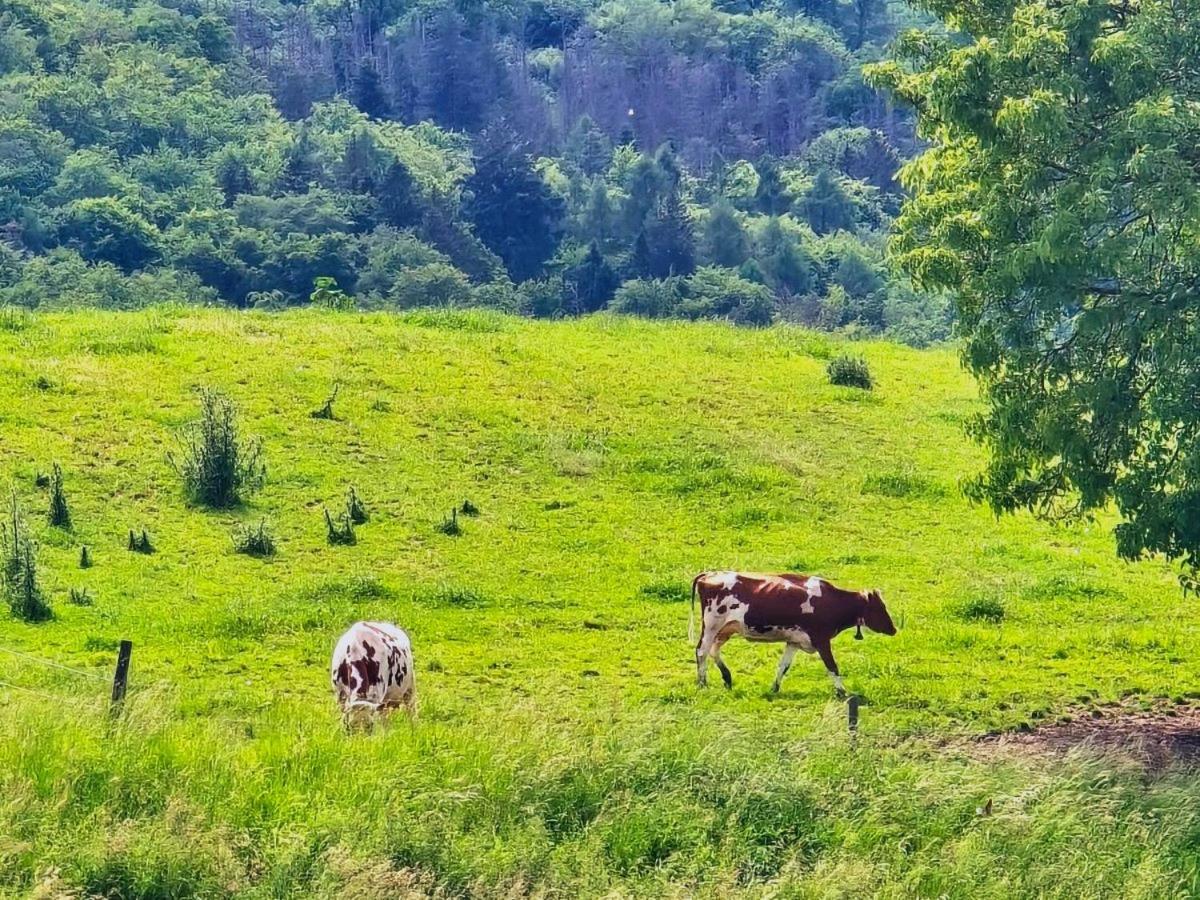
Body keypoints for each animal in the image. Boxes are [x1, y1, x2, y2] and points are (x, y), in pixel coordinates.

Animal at [690, 571, 896, 697]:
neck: (832, 601)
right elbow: (832, 667)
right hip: (711, 625)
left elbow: (783, 666)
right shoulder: (821, 640)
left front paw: (774, 688)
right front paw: (842, 692)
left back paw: (727, 678)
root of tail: (710, 573)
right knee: (702, 651)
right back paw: (702, 683)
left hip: (725, 629)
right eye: (880, 608)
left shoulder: (794, 641)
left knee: (713, 650)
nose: (893, 629)